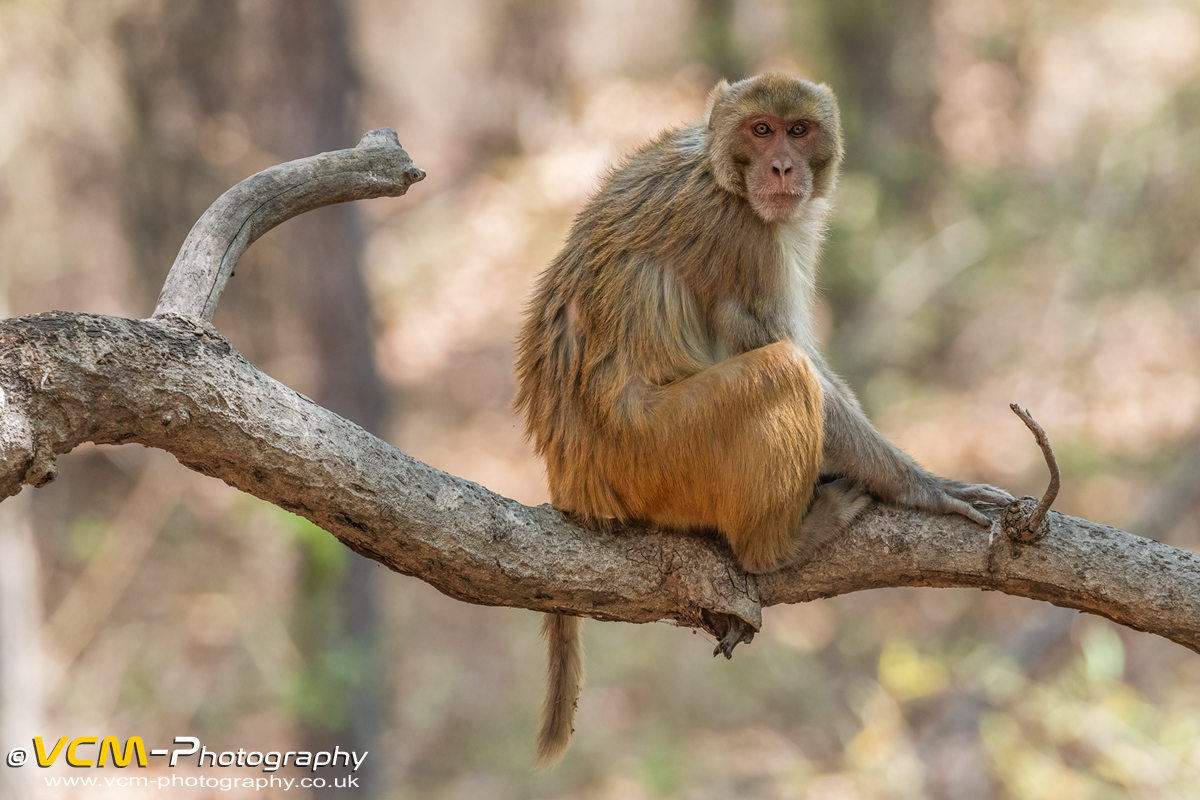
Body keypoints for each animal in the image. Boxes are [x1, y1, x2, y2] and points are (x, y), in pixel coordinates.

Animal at [513, 74, 1013, 769]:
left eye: (798, 130)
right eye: (761, 130)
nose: (781, 166)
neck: (720, 172)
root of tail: (571, 479)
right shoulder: (743, 240)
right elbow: (775, 343)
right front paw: (922, 486)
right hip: (657, 455)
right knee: (782, 371)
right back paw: (773, 550)